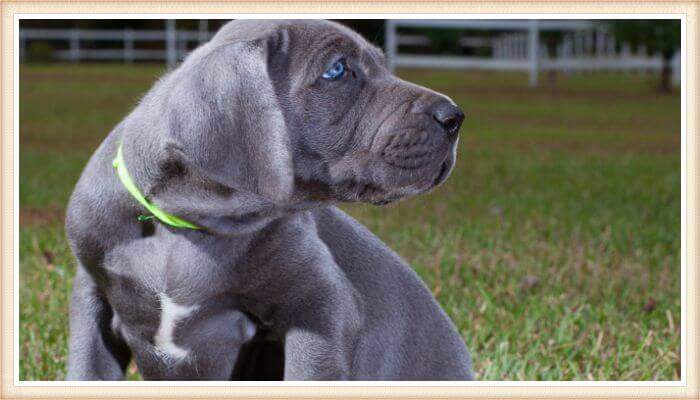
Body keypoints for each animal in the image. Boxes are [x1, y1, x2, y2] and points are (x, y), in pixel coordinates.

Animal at [65, 19, 474, 382]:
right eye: (337, 70)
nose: (454, 116)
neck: (184, 225)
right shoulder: (90, 295)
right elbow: (86, 370)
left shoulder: (324, 305)